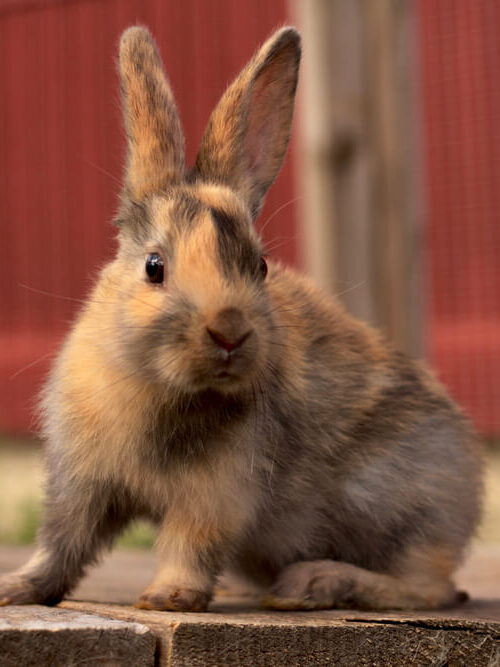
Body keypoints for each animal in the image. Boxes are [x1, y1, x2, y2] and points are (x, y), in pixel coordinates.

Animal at [0, 25, 482, 613]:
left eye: (261, 266)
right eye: (154, 267)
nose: (229, 333)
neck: (165, 388)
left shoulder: (217, 495)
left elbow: (190, 543)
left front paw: (168, 598)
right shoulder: (81, 485)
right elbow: (61, 545)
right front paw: (16, 590)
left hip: (403, 508)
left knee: (428, 587)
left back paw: (314, 583)